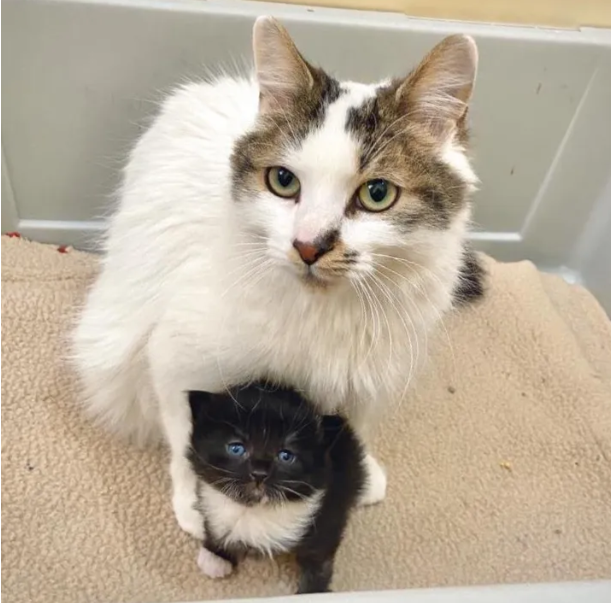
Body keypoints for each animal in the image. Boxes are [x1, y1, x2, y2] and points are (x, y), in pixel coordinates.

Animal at [70, 17, 482, 536]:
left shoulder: (368, 374)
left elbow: (356, 426)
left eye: (378, 194)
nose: (308, 246)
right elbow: (186, 434)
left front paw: (360, 474)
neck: (323, 315)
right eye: (283, 181)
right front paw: (198, 503)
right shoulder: (175, 359)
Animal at [189, 382, 366, 596]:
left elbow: (319, 559)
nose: (259, 473)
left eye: (285, 455)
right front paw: (216, 555)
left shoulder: (329, 511)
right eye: (236, 448)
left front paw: (311, 591)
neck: (257, 508)